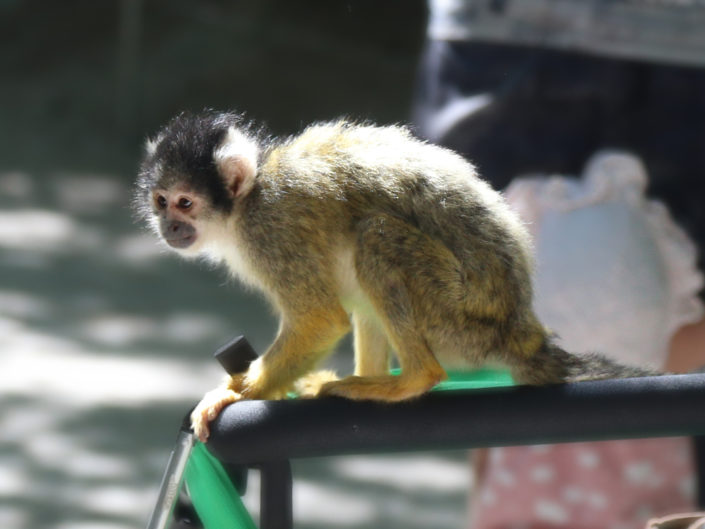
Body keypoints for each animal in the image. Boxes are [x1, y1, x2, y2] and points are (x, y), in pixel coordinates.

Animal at [134, 110, 658, 442]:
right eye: (160, 202)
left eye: (185, 203)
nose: (170, 227)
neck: (249, 198)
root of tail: (522, 333)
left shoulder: (272, 232)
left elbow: (320, 319)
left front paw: (235, 393)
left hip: (459, 320)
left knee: (376, 237)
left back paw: (411, 379)